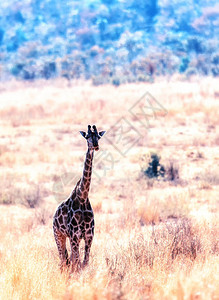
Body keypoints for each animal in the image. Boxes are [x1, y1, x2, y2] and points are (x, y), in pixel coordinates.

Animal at [52, 124, 105, 272]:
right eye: (87, 137)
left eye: (98, 136)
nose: (95, 146)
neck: (82, 197)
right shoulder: (74, 235)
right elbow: (77, 262)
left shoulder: (89, 236)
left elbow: (84, 262)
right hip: (59, 235)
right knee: (63, 260)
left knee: (68, 260)